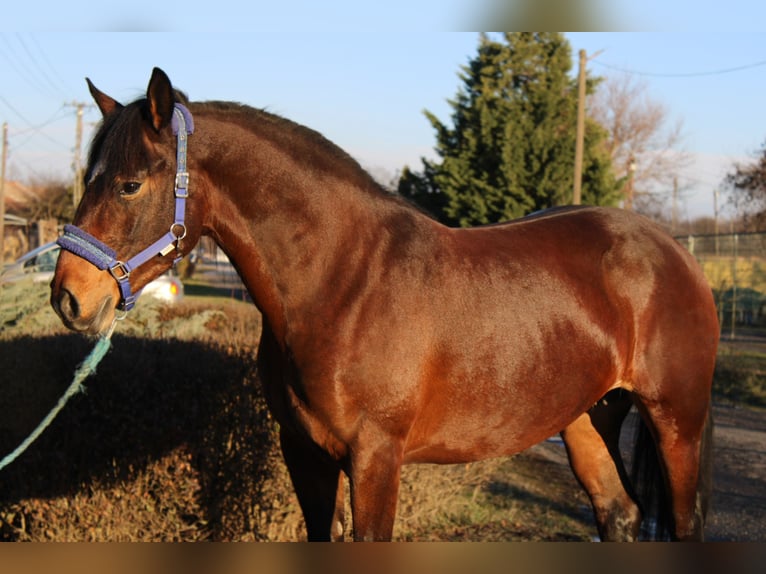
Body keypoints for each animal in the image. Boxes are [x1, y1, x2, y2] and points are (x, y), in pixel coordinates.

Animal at [50, 68, 718, 541]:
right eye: (91, 176)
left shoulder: (375, 457)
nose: (68, 297)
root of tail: (674, 252)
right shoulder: (306, 454)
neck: (343, 282)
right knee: (620, 514)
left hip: (676, 422)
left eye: (130, 184)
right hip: (586, 418)